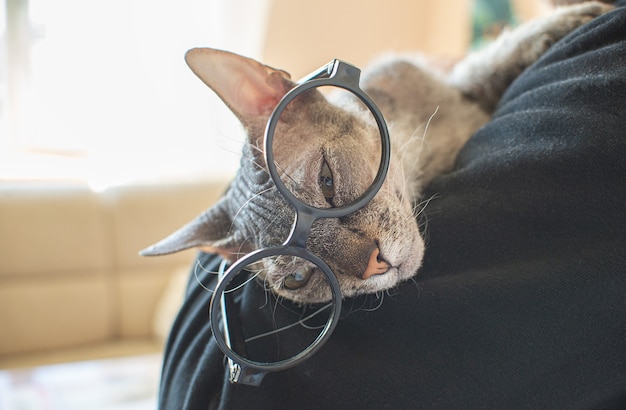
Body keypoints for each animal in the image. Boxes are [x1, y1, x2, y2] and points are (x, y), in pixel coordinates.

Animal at [140, 2, 608, 304]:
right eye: (297, 277)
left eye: (327, 181)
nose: (373, 265)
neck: (426, 148)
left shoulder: (423, 72)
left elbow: (480, 65)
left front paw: (567, 20)